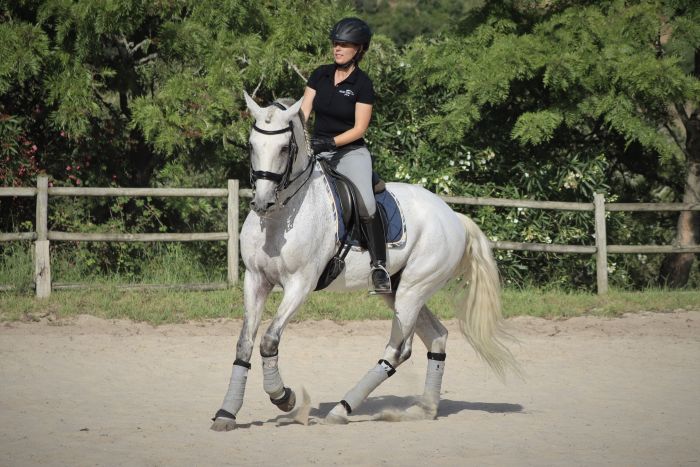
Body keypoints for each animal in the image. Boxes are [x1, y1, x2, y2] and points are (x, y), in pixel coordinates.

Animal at [211, 92, 516, 432]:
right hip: (398, 290)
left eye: (284, 148)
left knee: (399, 350)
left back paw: (342, 409)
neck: (280, 217)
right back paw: (423, 409)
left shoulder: (299, 285)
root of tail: (452, 215)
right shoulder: (255, 279)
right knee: (437, 336)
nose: (262, 203)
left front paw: (284, 397)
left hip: (412, 289)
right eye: (252, 145)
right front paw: (227, 412)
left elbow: (268, 340)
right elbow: (244, 343)